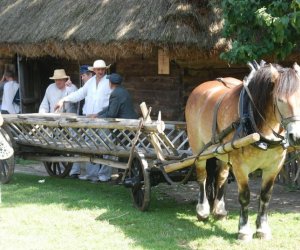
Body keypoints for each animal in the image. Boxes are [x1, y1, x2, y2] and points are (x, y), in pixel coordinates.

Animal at [185, 62, 300, 240]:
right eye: (280, 100)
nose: (297, 136)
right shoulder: (240, 166)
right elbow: (245, 196)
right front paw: (244, 230)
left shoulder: (274, 166)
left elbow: (265, 196)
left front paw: (262, 229)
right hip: (198, 149)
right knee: (202, 177)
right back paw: (202, 210)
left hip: (222, 151)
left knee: (221, 176)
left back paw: (219, 210)